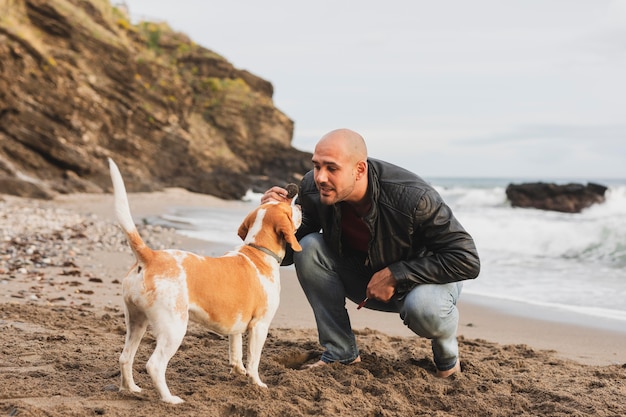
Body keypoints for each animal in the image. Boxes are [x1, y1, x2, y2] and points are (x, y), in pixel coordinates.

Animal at [108, 158, 302, 402]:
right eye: (288, 207)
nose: (299, 205)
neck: (257, 251)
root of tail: (151, 256)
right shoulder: (260, 326)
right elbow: (254, 361)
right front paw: (257, 384)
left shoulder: (237, 326)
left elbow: (236, 353)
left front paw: (238, 372)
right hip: (174, 328)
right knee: (154, 365)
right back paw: (170, 399)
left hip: (136, 321)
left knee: (125, 358)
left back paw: (130, 389)